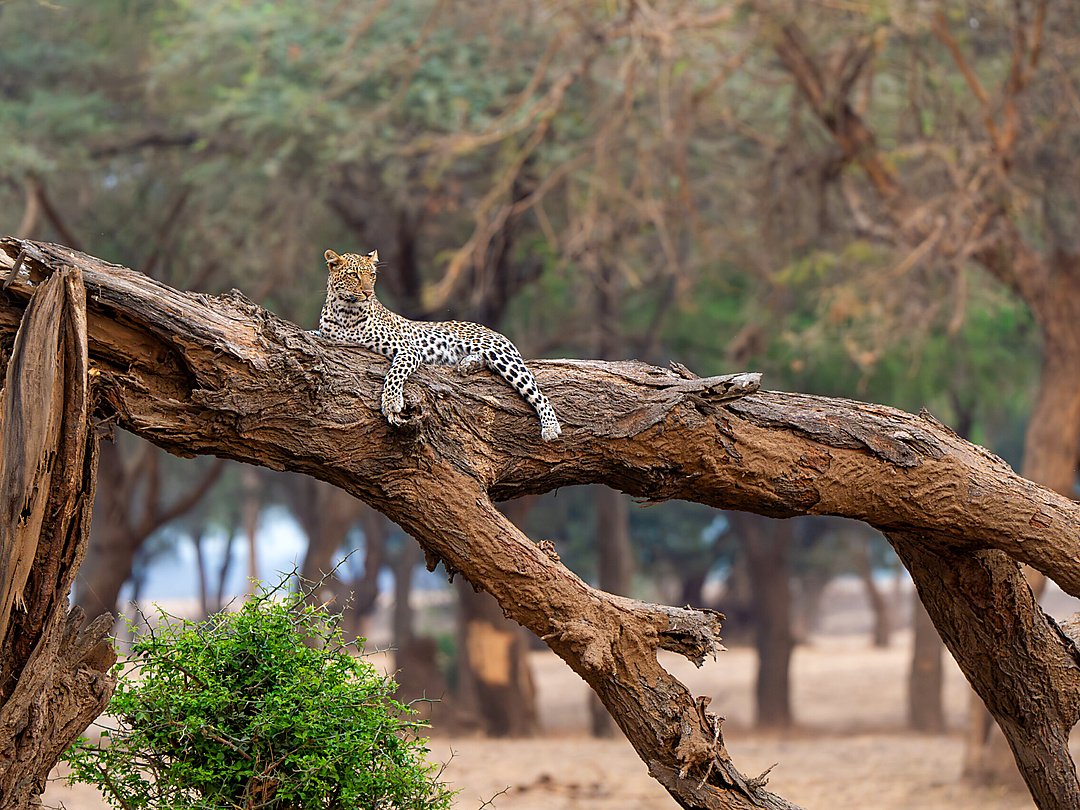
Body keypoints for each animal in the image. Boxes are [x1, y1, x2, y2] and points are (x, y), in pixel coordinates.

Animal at [315, 248, 562, 441]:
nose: (368, 293)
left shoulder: (408, 349)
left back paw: (550, 427)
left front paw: (392, 401)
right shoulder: (326, 334)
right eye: (354, 275)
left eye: (372, 275)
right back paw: (468, 364)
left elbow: (394, 374)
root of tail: (493, 330)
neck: (346, 312)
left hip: (501, 355)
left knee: (538, 393)